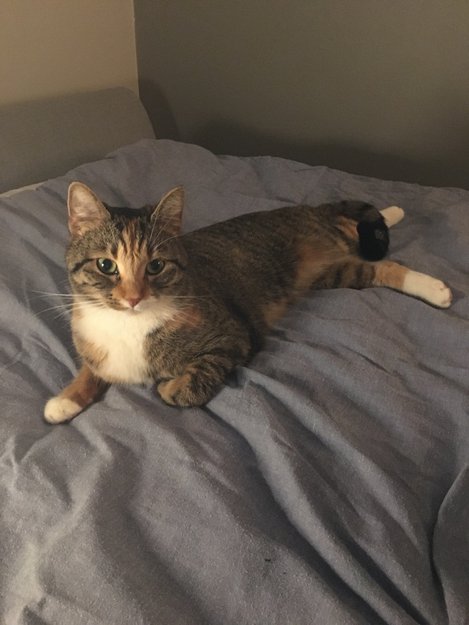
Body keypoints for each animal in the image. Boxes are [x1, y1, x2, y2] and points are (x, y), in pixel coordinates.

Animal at [44, 182, 452, 423]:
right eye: (106, 265)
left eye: (155, 266)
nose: (132, 298)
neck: (128, 326)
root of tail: (306, 210)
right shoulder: (95, 349)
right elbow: (90, 371)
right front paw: (66, 400)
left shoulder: (232, 338)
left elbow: (196, 381)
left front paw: (171, 388)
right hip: (331, 272)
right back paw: (395, 213)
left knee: (381, 258)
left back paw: (433, 284)